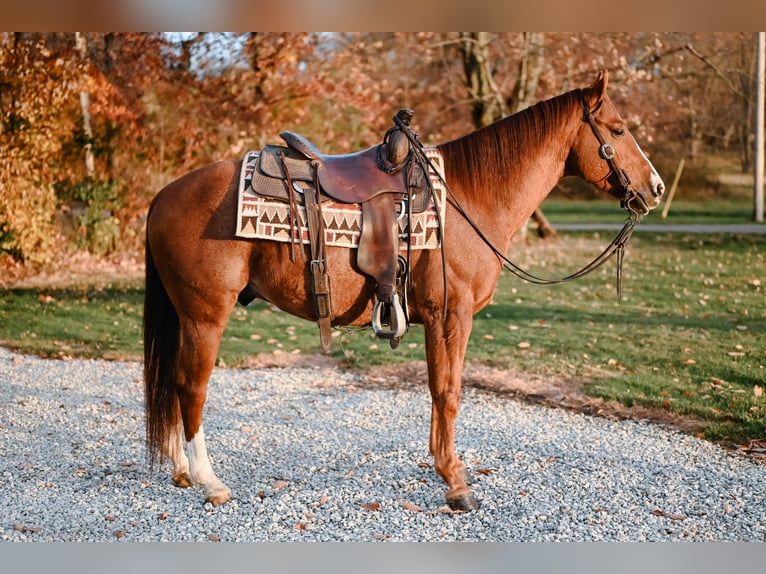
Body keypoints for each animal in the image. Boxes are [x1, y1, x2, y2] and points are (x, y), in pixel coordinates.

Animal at [144, 71, 664, 512]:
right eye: (618, 131)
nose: (656, 188)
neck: (468, 197)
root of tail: (164, 195)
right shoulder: (450, 316)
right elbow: (447, 391)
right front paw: (456, 483)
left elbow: (440, 390)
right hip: (206, 314)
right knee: (192, 386)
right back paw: (209, 481)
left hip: (187, 316)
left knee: (173, 383)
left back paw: (182, 472)